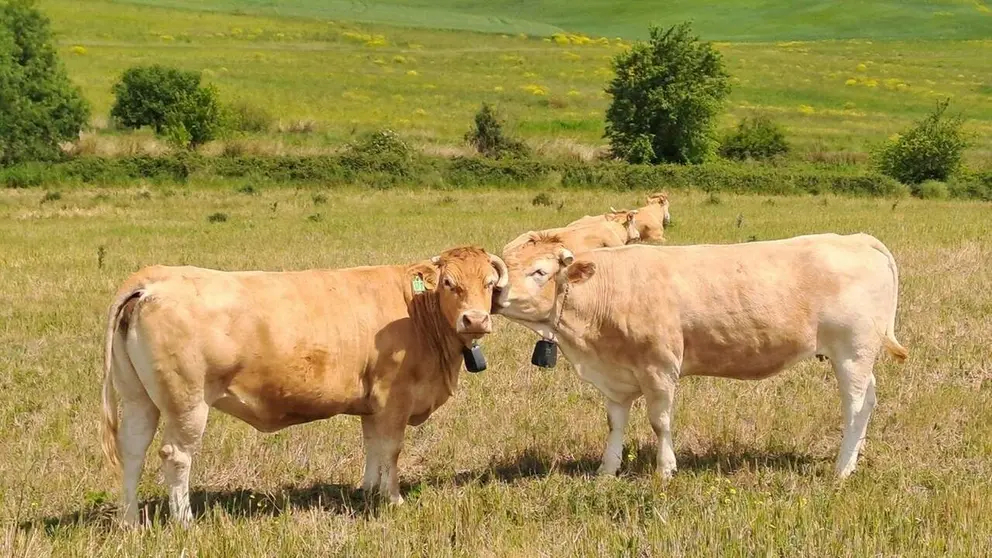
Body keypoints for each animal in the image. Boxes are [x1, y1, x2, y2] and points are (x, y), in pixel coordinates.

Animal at [100, 246, 508, 525]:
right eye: (449, 284)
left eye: (489, 284)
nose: (475, 320)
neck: (416, 310)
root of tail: (153, 279)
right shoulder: (395, 397)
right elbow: (391, 450)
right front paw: (393, 500)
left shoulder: (373, 403)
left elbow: (373, 446)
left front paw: (368, 491)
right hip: (187, 403)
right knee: (175, 456)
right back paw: (184, 521)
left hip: (137, 398)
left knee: (132, 451)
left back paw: (130, 521)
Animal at [496, 232, 907, 480]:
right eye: (504, 263)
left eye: (539, 271)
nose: (496, 291)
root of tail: (856, 238)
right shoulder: (615, 377)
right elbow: (615, 424)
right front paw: (605, 472)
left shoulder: (660, 367)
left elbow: (660, 422)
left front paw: (665, 470)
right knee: (869, 400)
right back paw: (856, 456)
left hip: (852, 352)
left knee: (855, 405)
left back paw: (842, 468)